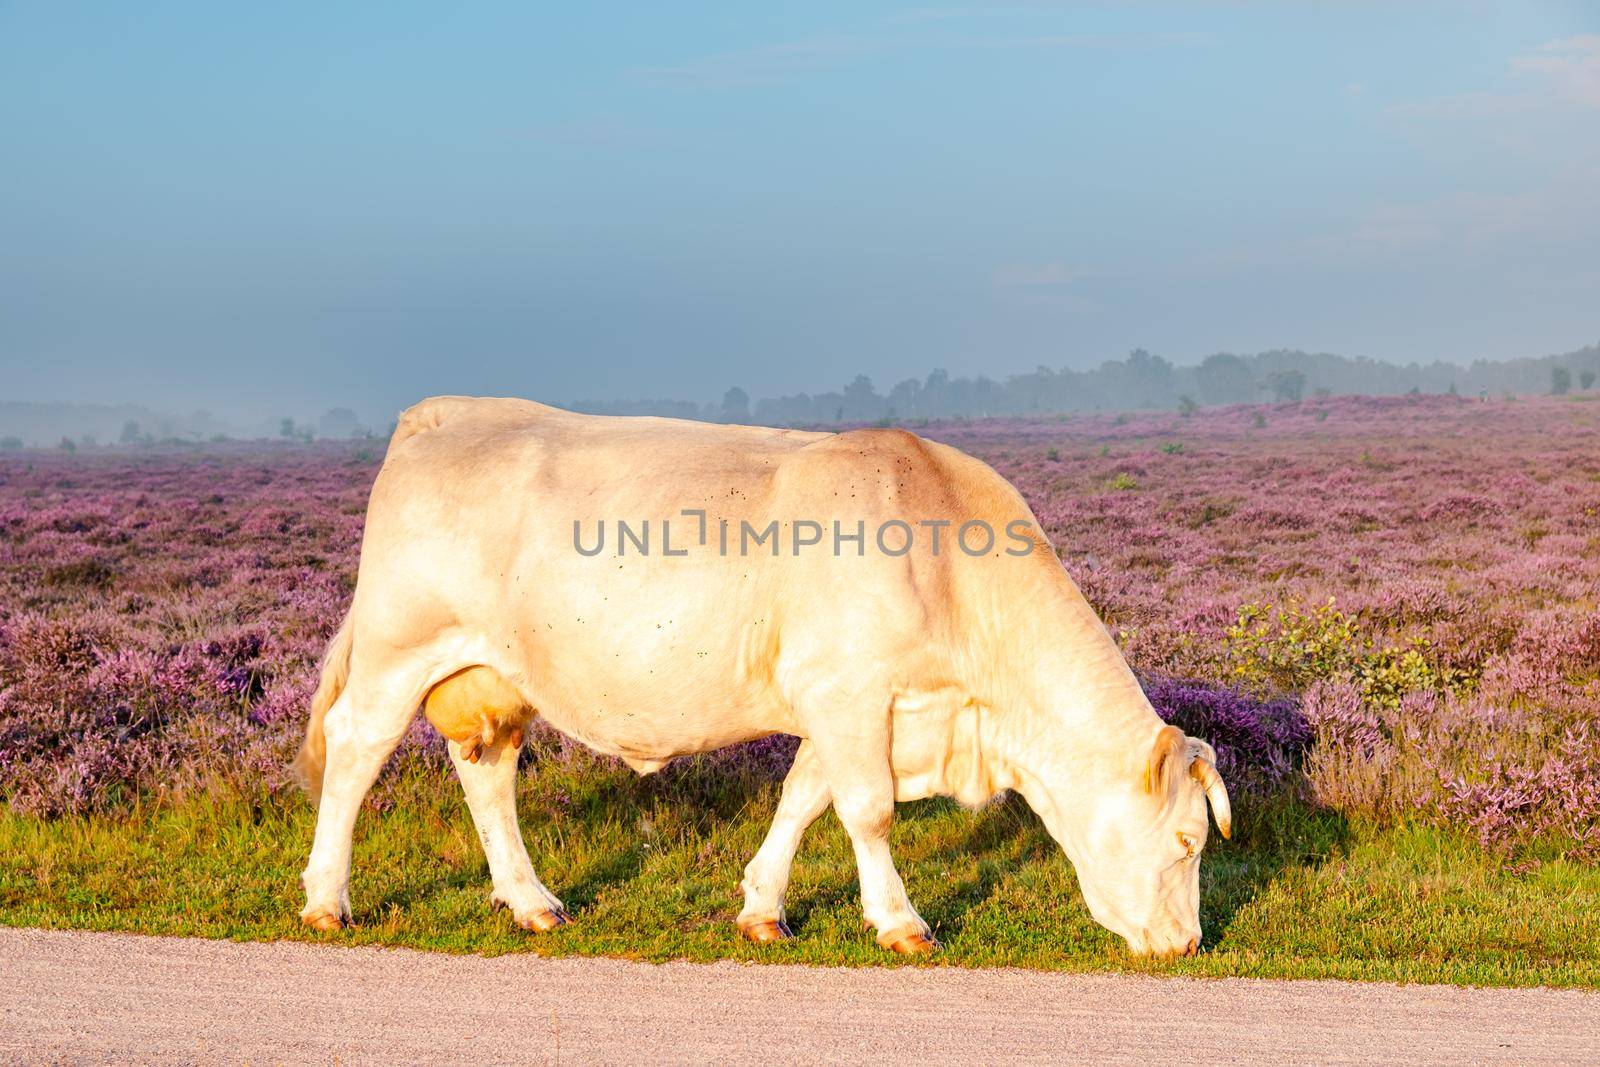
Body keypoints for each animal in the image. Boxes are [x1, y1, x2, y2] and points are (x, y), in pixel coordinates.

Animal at [294, 395, 1228, 959]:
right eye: (1188, 840)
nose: (1189, 944)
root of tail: (445, 416)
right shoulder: (851, 693)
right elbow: (868, 810)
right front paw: (901, 922)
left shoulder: (840, 703)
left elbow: (803, 796)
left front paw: (762, 909)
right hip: (398, 651)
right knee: (353, 752)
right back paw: (327, 899)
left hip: (493, 675)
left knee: (486, 774)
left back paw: (532, 900)